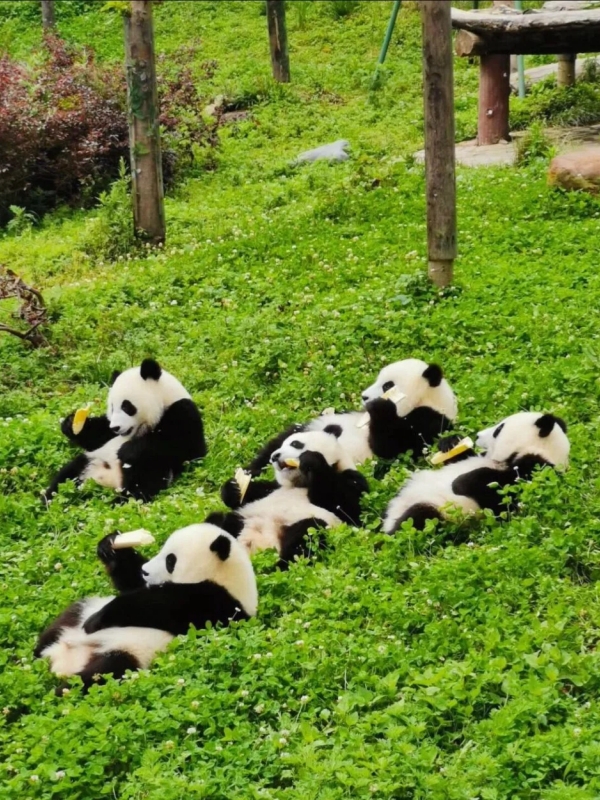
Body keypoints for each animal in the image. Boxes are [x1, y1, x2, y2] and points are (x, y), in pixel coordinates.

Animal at [34, 524, 257, 691]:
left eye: (170, 560)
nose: (146, 571)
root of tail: (61, 660)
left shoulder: (215, 603)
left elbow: (156, 606)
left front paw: (97, 620)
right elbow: (132, 582)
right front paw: (111, 545)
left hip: (128, 654)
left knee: (100, 674)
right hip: (78, 613)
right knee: (57, 628)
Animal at [43, 358, 206, 503]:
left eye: (126, 406)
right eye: (112, 407)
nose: (116, 428)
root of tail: (108, 481)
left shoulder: (182, 412)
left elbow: (188, 447)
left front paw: (127, 450)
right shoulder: (107, 432)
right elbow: (98, 434)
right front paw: (70, 424)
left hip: (150, 468)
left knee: (140, 487)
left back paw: (117, 503)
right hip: (91, 459)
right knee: (66, 476)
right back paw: (48, 500)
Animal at [207, 429, 369, 568]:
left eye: (295, 444)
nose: (274, 456)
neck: (300, 483)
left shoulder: (352, 480)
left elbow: (348, 507)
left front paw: (311, 460)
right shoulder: (276, 488)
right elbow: (256, 492)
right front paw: (234, 488)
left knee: (307, 536)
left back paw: (278, 567)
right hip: (242, 520)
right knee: (217, 521)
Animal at [382, 411, 570, 533]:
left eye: (498, 430)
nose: (478, 435)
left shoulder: (536, 471)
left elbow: (501, 494)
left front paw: (459, 483)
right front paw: (451, 442)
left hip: (439, 513)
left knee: (416, 519)